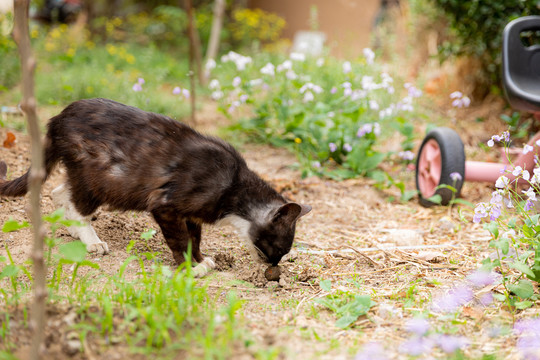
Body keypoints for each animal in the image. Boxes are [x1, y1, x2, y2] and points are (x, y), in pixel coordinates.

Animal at [0, 97, 312, 276]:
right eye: (279, 247)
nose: (274, 266)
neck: (234, 188)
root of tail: (57, 118)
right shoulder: (164, 204)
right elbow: (180, 239)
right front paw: (190, 267)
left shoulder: (191, 215)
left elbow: (195, 237)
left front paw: (201, 260)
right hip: (97, 177)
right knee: (77, 205)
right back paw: (92, 241)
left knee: (59, 192)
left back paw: (75, 231)